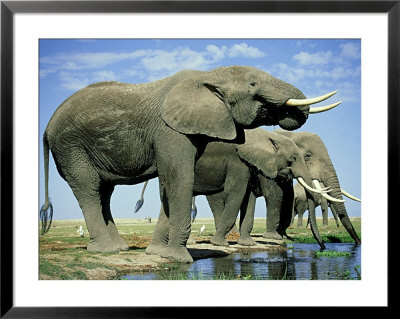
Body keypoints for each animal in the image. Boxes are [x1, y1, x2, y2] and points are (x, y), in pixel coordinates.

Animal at [144, 129, 328, 251]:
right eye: (293, 159)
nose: (322, 247)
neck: (265, 135)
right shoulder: (237, 161)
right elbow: (237, 193)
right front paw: (219, 243)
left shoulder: (250, 165)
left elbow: (249, 198)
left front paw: (247, 244)